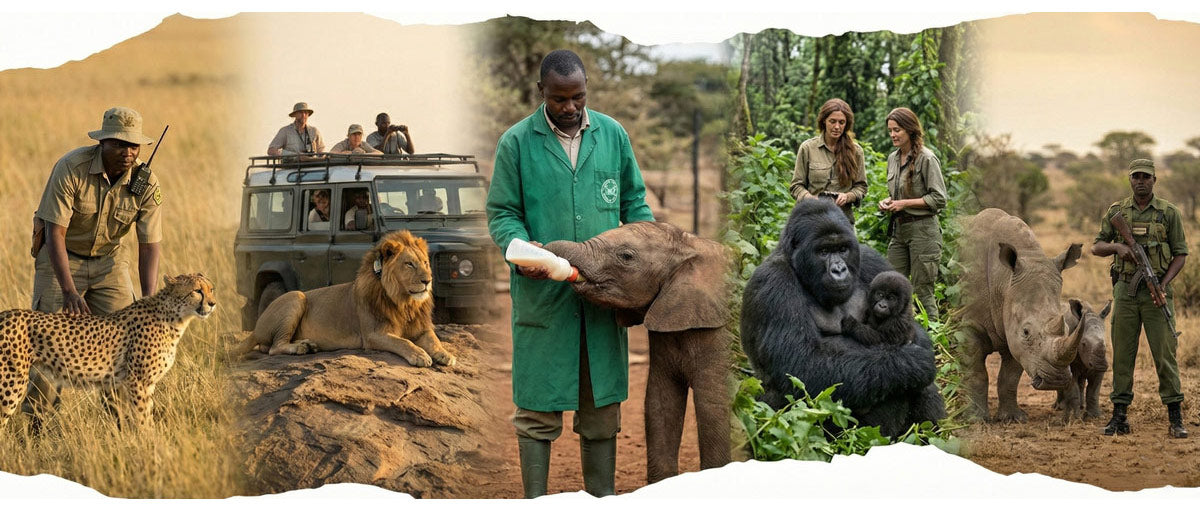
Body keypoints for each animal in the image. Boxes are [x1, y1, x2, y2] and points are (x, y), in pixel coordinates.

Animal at [235, 230, 455, 367]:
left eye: (425, 262)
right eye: (409, 264)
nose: (427, 280)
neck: (404, 303)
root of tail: (256, 328)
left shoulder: (421, 328)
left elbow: (434, 339)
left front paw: (446, 354)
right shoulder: (373, 335)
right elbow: (403, 342)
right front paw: (420, 355)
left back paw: (308, 345)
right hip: (296, 296)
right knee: (273, 348)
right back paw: (301, 347)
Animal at [959, 208, 1088, 423]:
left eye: (1068, 328)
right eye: (1026, 332)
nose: (1056, 379)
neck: (1003, 282)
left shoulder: (1013, 333)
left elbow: (1010, 377)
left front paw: (1013, 418)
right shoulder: (968, 324)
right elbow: (977, 373)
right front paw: (976, 420)